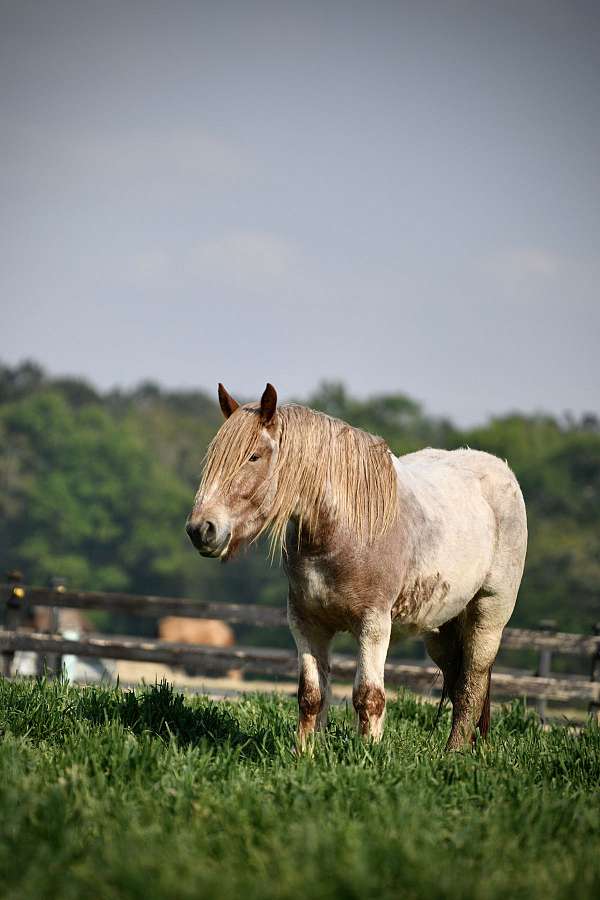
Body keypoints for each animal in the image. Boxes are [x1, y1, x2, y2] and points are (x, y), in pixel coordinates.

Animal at [186, 384, 524, 748]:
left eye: (254, 457)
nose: (201, 529)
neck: (341, 531)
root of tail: (502, 474)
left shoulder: (373, 625)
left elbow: (369, 697)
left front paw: (367, 754)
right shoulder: (306, 623)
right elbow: (311, 695)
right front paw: (304, 753)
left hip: (488, 617)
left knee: (470, 687)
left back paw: (454, 753)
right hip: (441, 629)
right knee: (457, 678)